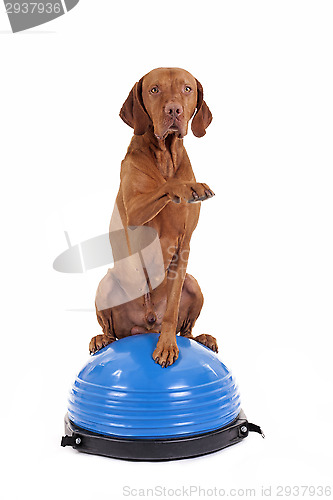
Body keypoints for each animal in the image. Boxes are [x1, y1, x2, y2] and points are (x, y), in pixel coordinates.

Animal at [89, 67, 218, 368]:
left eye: (186, 89)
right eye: (154, 89)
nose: (174, 110)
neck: (165, 158)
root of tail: (146, 323)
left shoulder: (183, 247)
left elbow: (172, 310)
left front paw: (167, 346)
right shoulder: (135, 212)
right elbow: (165, 186)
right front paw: (189, 187)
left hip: (192, 283)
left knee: (187, 330)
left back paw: (204, 338)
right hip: (107, 283)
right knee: (109, 330)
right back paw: (100, 340)